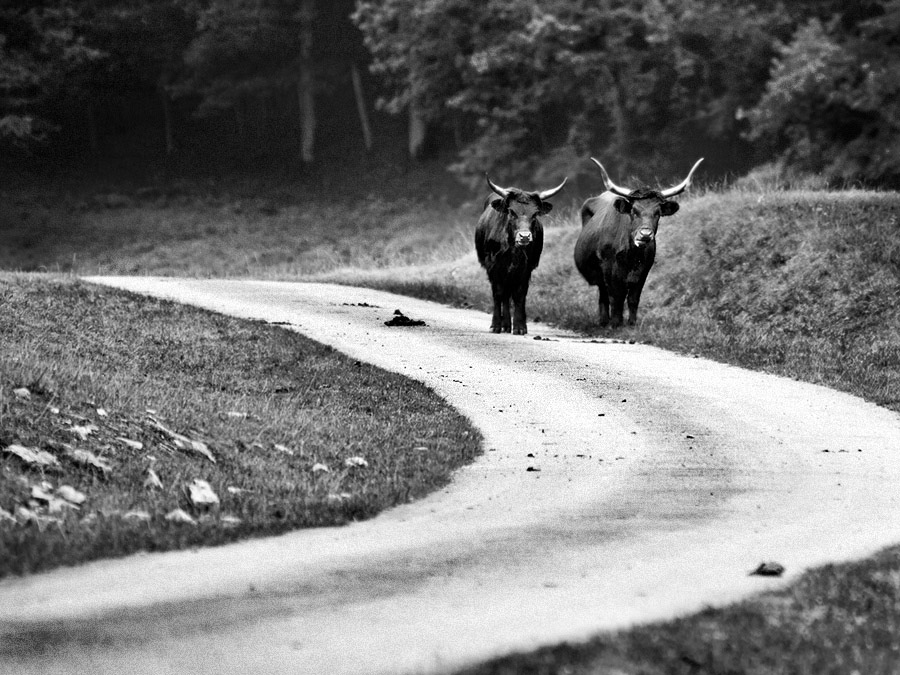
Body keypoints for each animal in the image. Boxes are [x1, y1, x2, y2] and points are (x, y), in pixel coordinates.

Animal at [474, 177, 568, 336]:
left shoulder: (526, 269)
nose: (524, 236)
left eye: (535, 214)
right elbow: (497, 294)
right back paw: (504, 325)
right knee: (503, 295)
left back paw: (508, 325)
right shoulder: (493, 266)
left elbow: (520, 294)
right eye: (512, 212)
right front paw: (495, 325)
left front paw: (520, 326)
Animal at [576, 158, 704, 328]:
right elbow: (616, 298)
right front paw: (616, 323)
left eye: (657, 213)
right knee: (604, 296)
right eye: (634, 211)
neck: (631, 256)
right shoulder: (609, 271)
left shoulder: (643, 271)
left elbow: (633, 299)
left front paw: (631, 323)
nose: (645, 234)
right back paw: (604, 321)